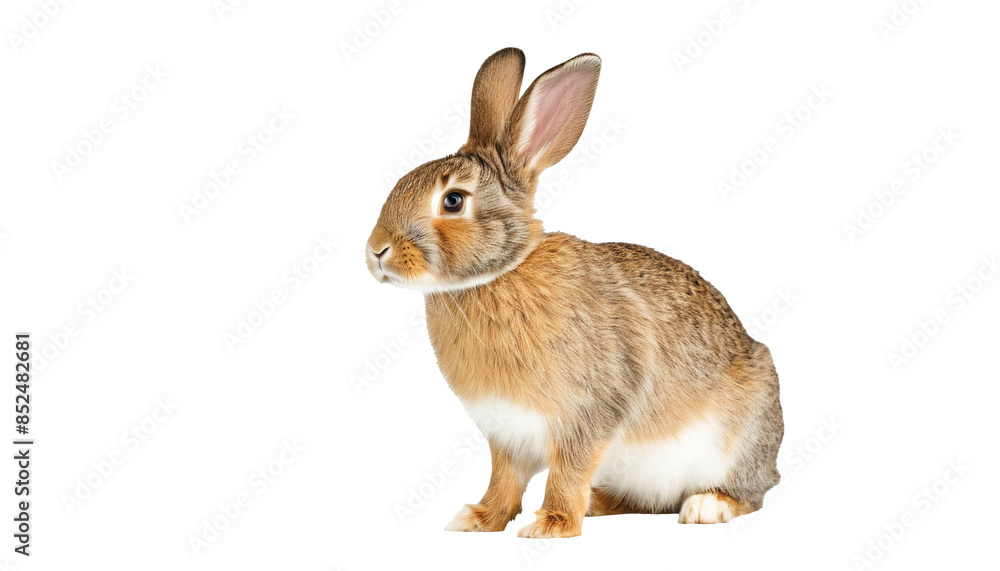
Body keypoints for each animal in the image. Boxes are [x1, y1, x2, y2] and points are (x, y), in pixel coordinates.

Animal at [366, 47, 783, 538]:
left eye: (453, 201)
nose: (376, 250)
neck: (500, 274)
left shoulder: (587, 416)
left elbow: (567, 472)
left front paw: (552, 525)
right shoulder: (506, 434)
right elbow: (503, 479)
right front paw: (478, 519)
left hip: (740, 441)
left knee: (750, 494)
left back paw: (707, 507)